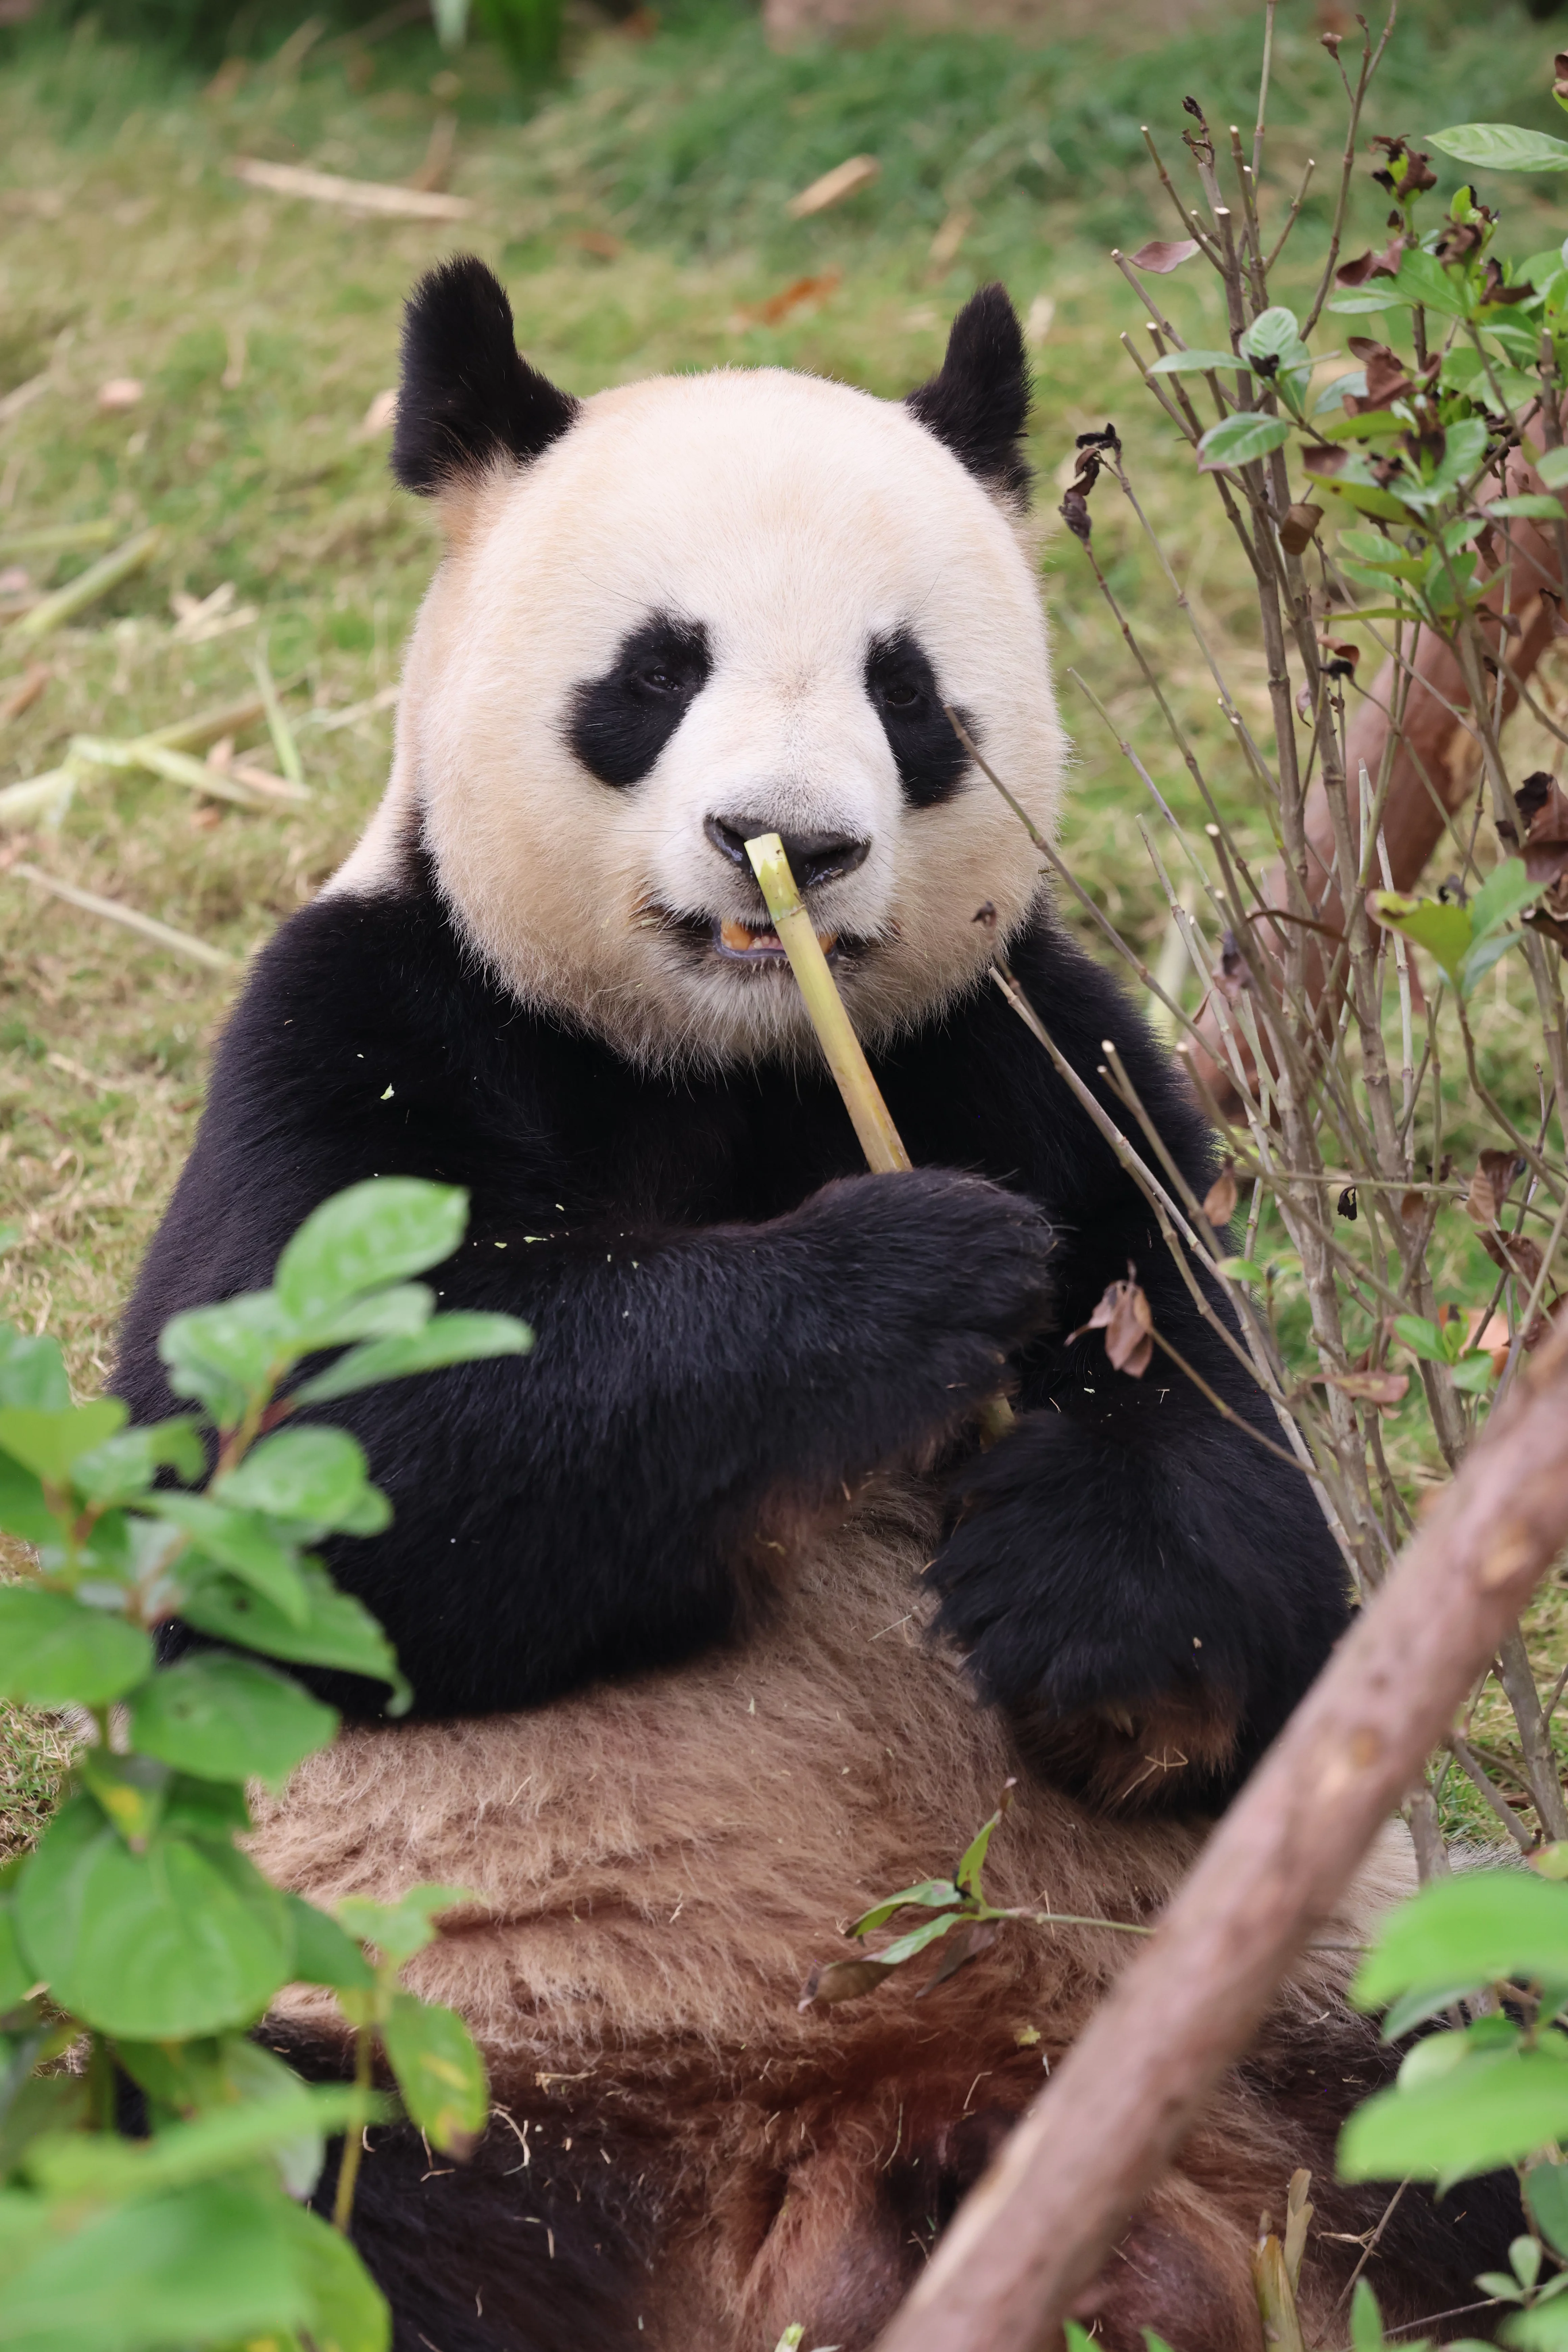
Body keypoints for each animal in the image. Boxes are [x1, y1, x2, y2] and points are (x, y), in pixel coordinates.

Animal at [115, 258, 1509, 2350]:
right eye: (653, 672)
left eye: (905, 692)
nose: (793, 840)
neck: (730, 1061)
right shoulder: (370, 1012)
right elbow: (300, 1470)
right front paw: (910, 1279)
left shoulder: (1029, 1041)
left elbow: (1240, 1451)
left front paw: (1103, 1641)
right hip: (426, 2050)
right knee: (279, 2219)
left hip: (1322, 2003)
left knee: (1475, 2102)